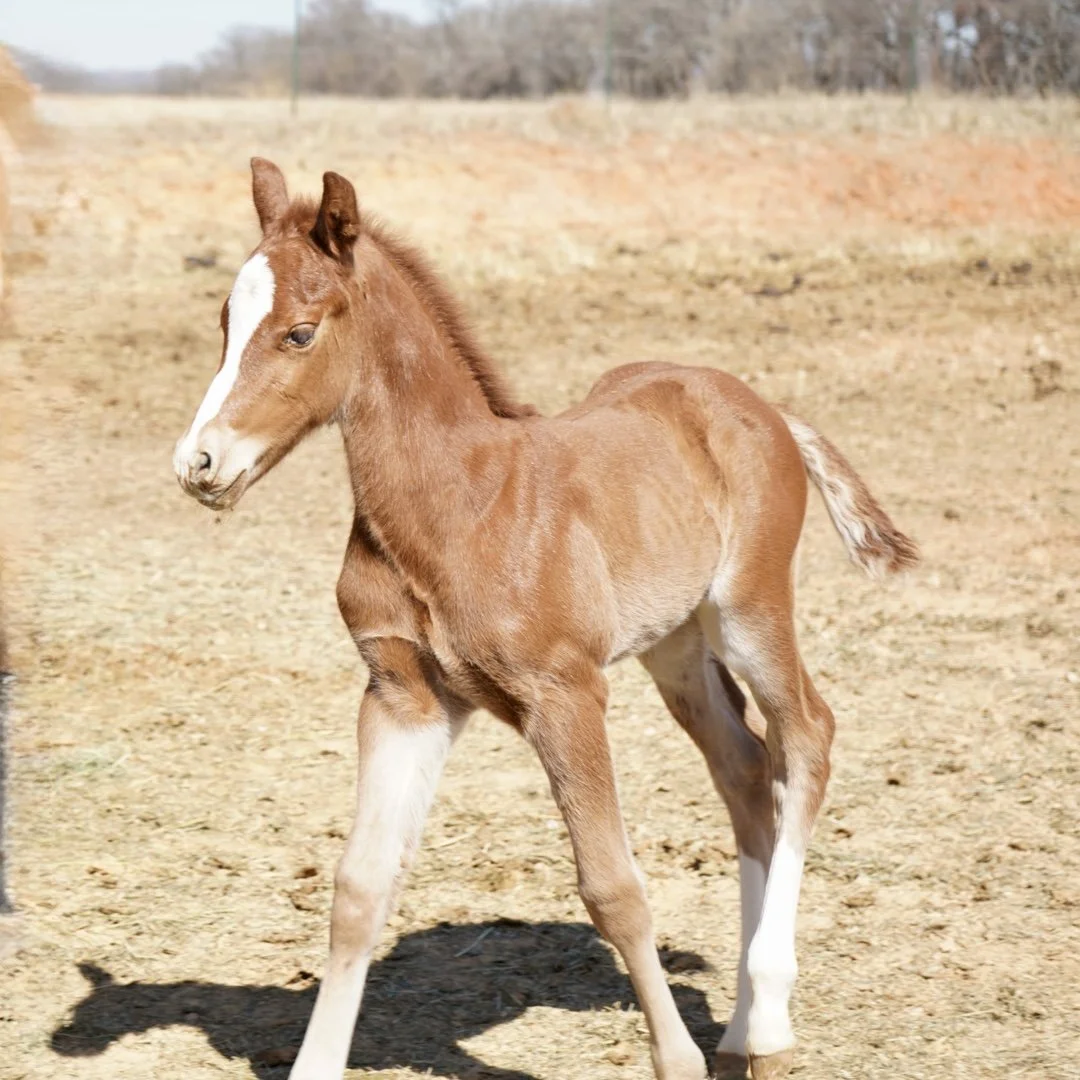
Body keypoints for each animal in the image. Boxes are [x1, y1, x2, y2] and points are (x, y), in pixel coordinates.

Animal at [172, 159, 917, 1080]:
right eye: (225, 321)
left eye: (300, 334)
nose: (199, 463)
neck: (458, 503)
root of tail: (765, 407)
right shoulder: (404, 697)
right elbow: (359, 888)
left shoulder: (565, 695)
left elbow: (614, 888)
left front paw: (676, 1060)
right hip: (674, 646)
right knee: (743, 768)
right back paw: (743, 1027)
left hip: (749, 607)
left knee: (806, 735)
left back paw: (771, 1021)